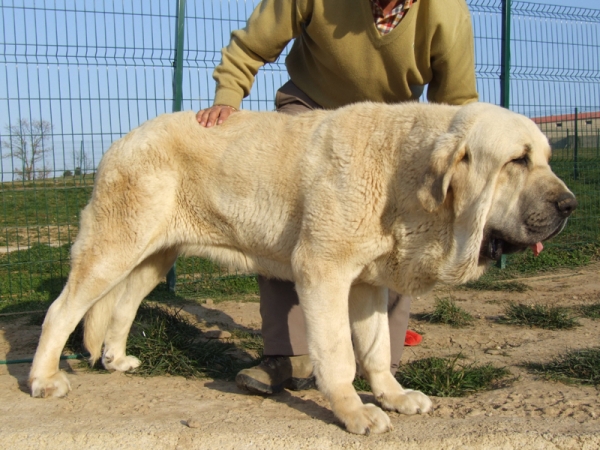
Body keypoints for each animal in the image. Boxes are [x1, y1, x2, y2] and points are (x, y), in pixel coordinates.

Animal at [29, 101, 576, 432]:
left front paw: (393, 396)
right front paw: (355, 413)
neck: (404, 173)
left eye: (547, 157)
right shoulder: (323, 272)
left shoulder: (367, 285)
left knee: (123, 303)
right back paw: (43, 380)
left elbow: (376, 350)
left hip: (155, 255)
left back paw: (116, 358)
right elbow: (339, 356)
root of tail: (123, 138)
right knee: (62, 310)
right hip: (114, 247)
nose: (570, 205)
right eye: (518, 160)